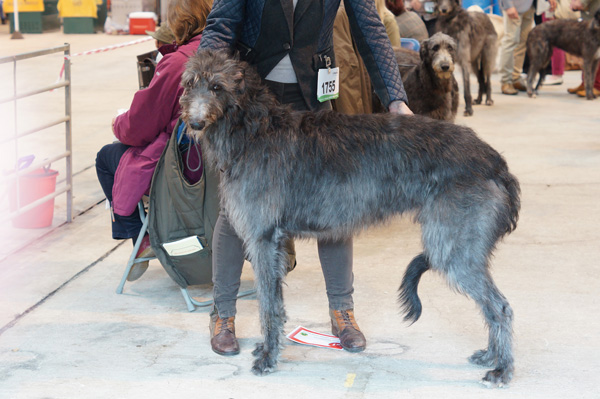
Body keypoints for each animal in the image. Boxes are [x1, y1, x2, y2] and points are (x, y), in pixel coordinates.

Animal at [182, 49, 520, 388]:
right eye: (189, 83)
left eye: (217, 87)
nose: (194, 123)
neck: (254, 128)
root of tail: (496, 161)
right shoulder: (270, 241)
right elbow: (274, 301)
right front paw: (267, 349)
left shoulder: (264, 239)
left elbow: (268, 305)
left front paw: (268, 356)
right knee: (494, 306)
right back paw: (491, 356)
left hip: (453, 247)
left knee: (501, 307)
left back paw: (502, 368)